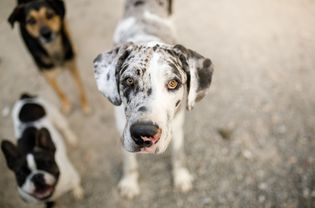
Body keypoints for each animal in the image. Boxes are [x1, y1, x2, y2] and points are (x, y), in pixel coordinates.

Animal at [92, 0, 214, 199]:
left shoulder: (177, 124)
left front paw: (181, 177)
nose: (144, 133)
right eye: (129, 80)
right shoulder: (121, 126)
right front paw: (129, 183)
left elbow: (178, 153)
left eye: (173, 83)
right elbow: (129, 160)